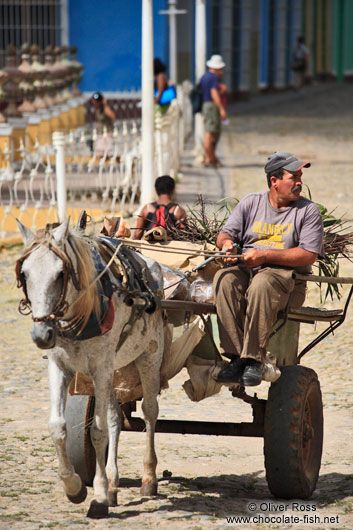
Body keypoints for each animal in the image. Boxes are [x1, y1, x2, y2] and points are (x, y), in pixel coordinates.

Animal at [15, 218, 164, 516]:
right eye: (24, 274)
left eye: (61, 274)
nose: (41, 335)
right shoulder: (59, 367)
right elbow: (58, 427)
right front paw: (74, 487)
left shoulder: (100, 369)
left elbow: (97, 432)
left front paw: (99, 496)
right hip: (116, 370)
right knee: (116, 419)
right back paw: (115, 483)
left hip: (148, 358)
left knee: (150, 412)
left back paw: (148, 478)